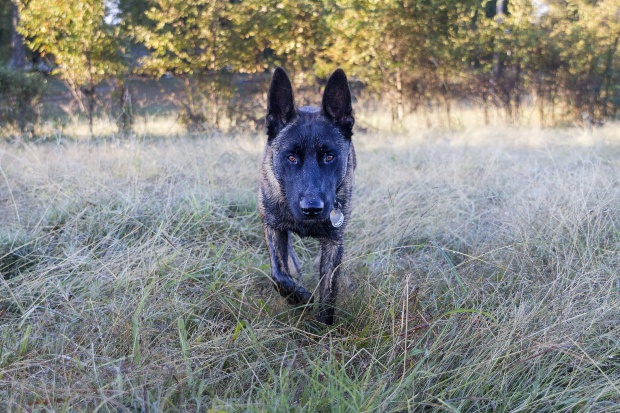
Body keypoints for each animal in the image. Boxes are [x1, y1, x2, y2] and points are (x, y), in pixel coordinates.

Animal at [256, 67, 354, 326]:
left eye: (329, 156)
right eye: (291, 157)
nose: (312, 208)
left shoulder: (334, 242)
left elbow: (328, 293)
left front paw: (324, 329)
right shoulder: (272, 226)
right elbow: (278, 274)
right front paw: (300, 297)